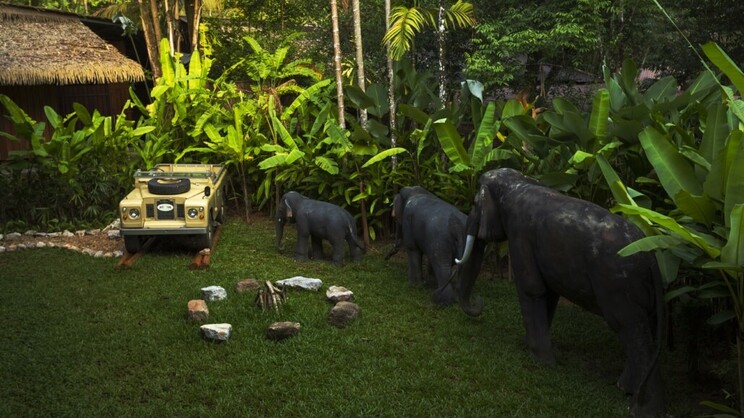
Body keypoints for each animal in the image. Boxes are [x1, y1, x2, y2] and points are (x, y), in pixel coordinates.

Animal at [455, 168, 665, 417]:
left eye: (475, 203)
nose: (479, 302)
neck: (520, 182)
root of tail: (651, 258)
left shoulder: (520, 235)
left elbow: (531, 288)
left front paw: (541, 361)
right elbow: (549, 293)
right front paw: (529, 347)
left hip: (618, 284)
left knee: (630, 330)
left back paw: (640, 409)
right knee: (643, 331)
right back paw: (624, 388)